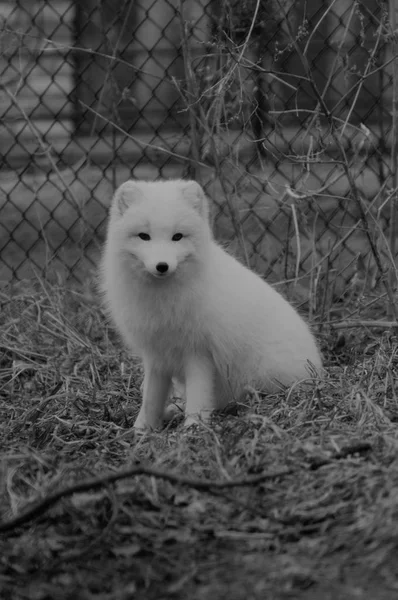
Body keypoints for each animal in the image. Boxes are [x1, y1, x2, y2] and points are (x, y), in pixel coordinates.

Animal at [101, 180, 322, 428]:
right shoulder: (156, 355)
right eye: (144, 236)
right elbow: (150, 399)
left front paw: (193, 427)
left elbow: (198, 397)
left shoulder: (199, 353)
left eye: (177, 237)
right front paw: (140, 429)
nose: (162, 266)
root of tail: (318, 368)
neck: (162, 299)